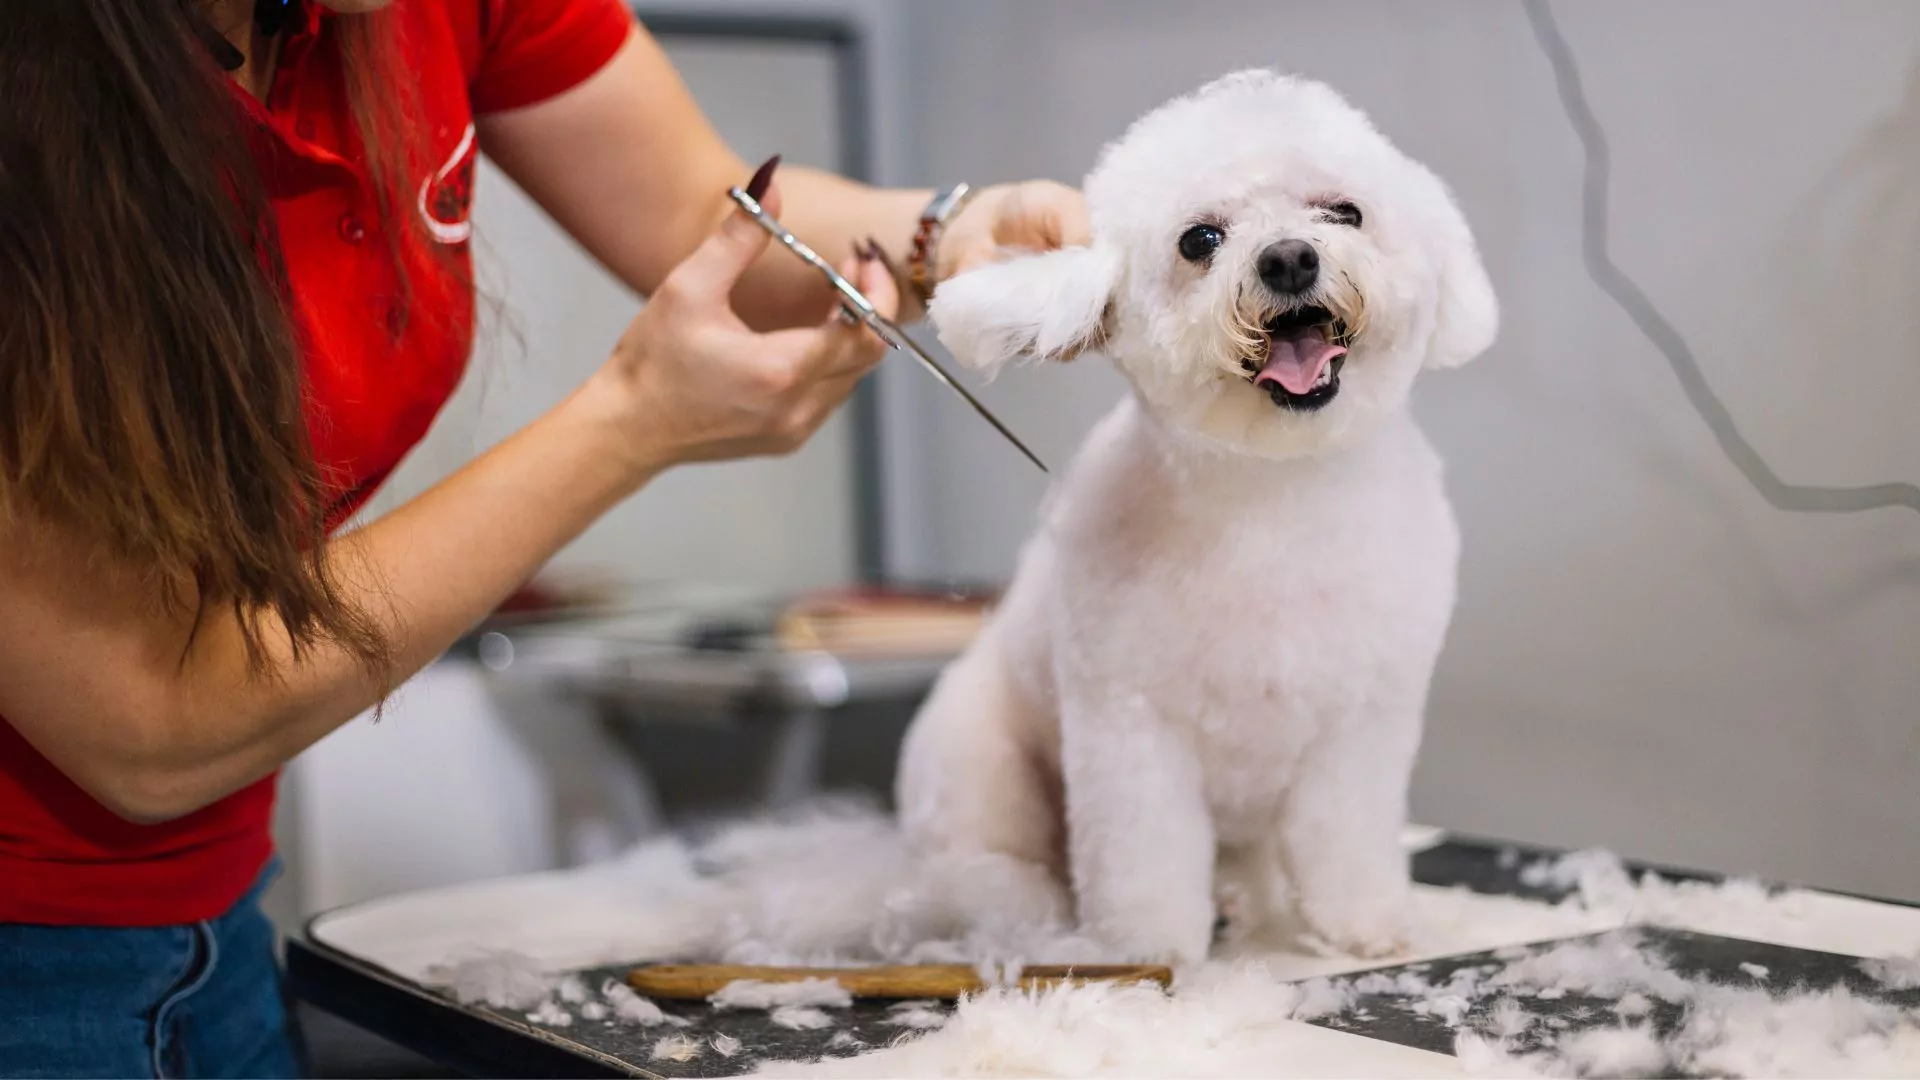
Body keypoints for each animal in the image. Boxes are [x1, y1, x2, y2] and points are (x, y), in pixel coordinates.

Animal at [890, 69, 1489, 957]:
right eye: (1200, 240)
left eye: (1344, 213)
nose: (1289, 257)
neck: (1272, 499)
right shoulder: (1130, 729)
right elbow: (1144, 854)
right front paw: (1148, 948)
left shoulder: (1364, 723)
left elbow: (1347, 836)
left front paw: (1363, 923)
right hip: (977, 765)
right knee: (984, 860)